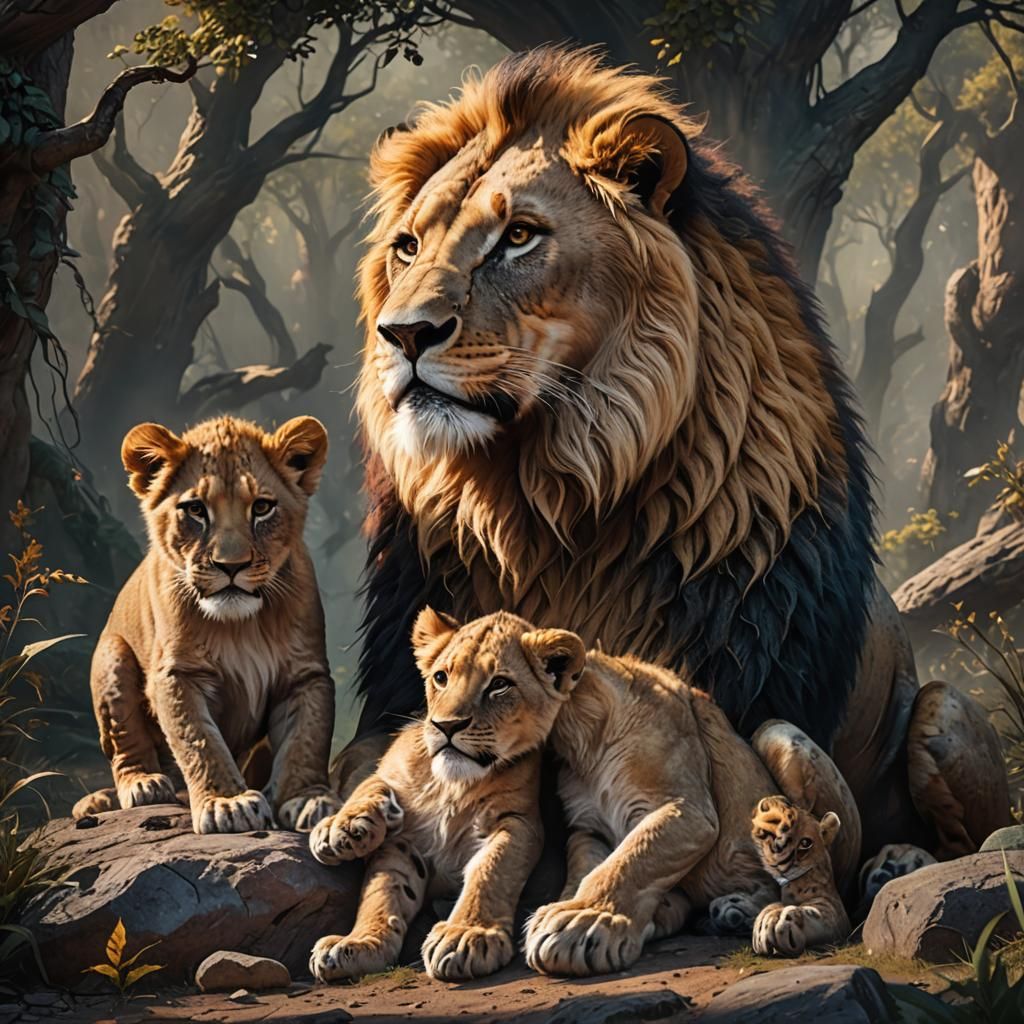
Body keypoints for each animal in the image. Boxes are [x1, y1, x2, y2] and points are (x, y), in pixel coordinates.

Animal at [72, 415, 341, 835]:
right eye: (196, 509)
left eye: (262, 507)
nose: (231, 566)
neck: (240, 625)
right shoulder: (177, 674)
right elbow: (198, 740)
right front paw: (227, 803)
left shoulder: (305, 674)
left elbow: (308, 738)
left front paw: (308, 798)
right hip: (111, 656)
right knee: (125, 748)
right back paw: (144, 784)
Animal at [308, 607, 573, 983]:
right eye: (441, 677)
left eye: (499, 684)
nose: (446, 726)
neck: (452, 785)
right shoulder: (403, 831)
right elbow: (382, 888)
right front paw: (357, 941)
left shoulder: (518, 821)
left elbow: (492, 871)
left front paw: (465, 936)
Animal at [342, 44, 1010, 865]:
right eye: (406, 247)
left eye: (520, 236)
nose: (402, 333)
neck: (545, 499)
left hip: (942, 710)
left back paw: (903, 858)